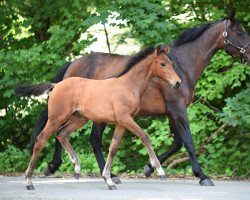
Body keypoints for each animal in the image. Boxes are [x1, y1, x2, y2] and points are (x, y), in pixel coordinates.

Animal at [15, 46, 181, 190]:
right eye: (162, 63)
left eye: (171, 63)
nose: (178, 83)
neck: (128, 85)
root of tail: (56, 85)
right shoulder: (126, 119)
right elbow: (145, 136)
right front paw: (159, 171)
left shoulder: (121, 122)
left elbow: (113, 148)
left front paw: (109, 179)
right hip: (57, 117)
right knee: (41, 140)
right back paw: (29, 181)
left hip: (78, 119)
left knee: (61, 133)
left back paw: (76, 167)